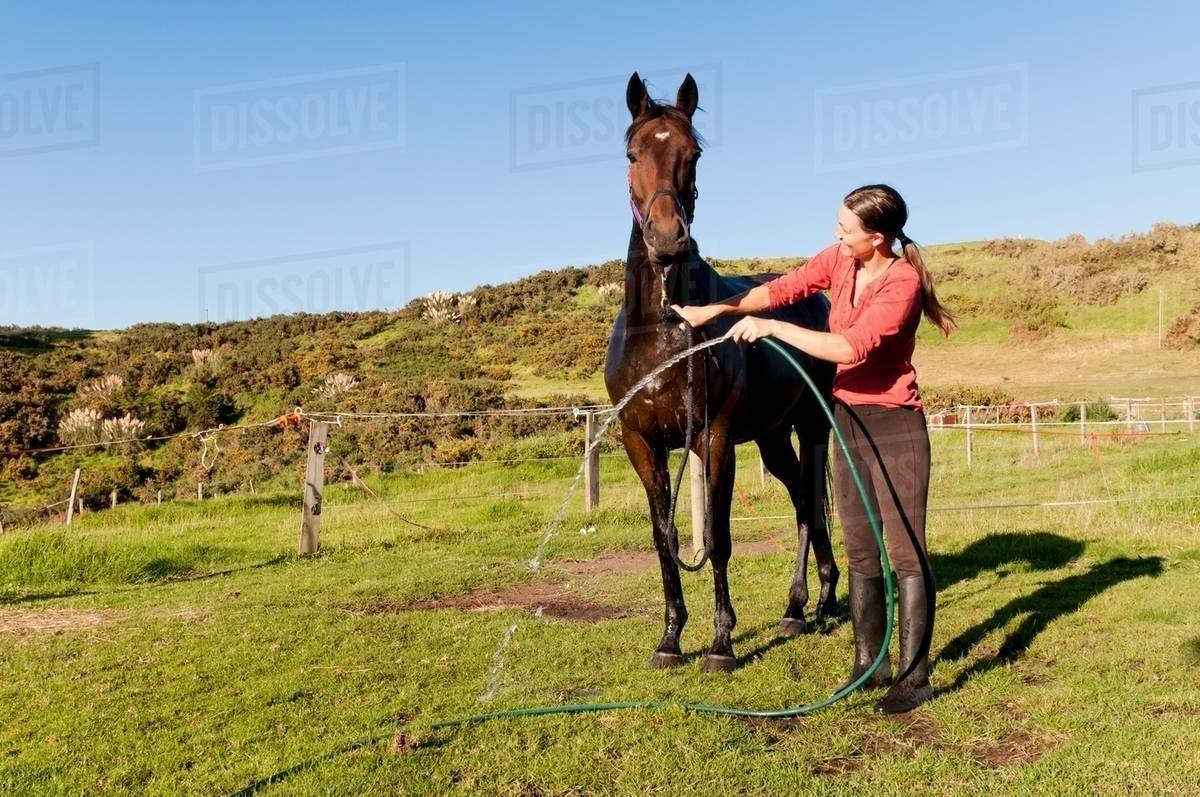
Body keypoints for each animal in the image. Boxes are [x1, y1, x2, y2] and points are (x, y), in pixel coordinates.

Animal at [603, 72, 840, 671]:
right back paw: (803, 606)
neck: (664, 329)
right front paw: (670, 638)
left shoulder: (715, 439)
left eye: (694, 153)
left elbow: (719, 536)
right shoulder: (642, 443)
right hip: (773, 437)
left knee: (810, 505)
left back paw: (816, 603)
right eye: (632, 153)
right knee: (801, 500)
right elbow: (665, 539)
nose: (667, 240)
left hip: (812, 426)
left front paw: (721, 642)